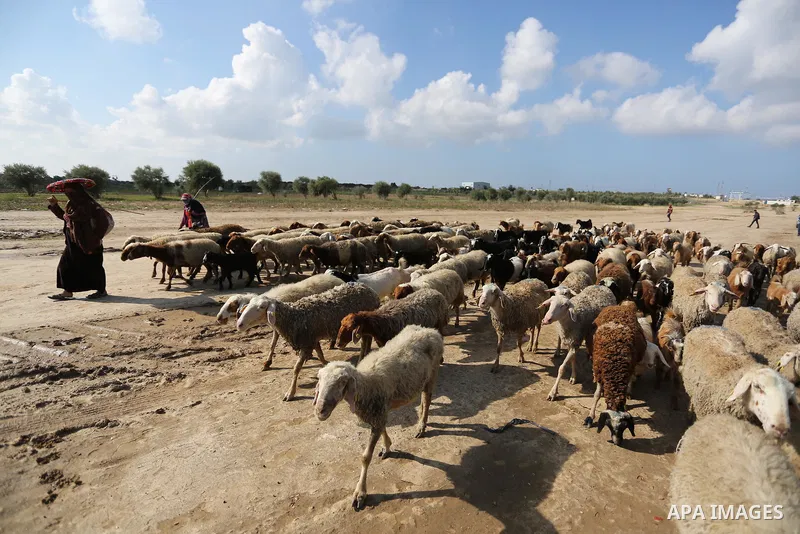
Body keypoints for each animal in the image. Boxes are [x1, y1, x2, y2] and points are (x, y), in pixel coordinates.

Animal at [237, 283, 380, 401]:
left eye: (261, 307)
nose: (239, 324)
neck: (294, 316)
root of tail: (367, 288)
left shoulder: (306, 343)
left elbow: (296, 368)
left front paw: (290, 392)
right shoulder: (312, 339)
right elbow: (320, 354)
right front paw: (325, 364)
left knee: (365, 341)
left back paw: (362, 358)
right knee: (367, 340)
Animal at [314, 325, 444, 511]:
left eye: (342, 382)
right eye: (319, 379)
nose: (320, 410)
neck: (366, 384)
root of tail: (429, 330)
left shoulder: (377, 412)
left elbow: (365, 457)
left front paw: (360, 493)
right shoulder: (378, 412)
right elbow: (383, 428)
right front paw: (387, 446)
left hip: (432, 374)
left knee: (427, 400)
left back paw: (421, 426)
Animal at [583, 305, 646, 445]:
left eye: (625, 427)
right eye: (608, 425)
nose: (617, 442)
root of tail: (621, 306)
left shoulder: (628, 369)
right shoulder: (599, 370)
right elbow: (596, 395)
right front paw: (590, 417)